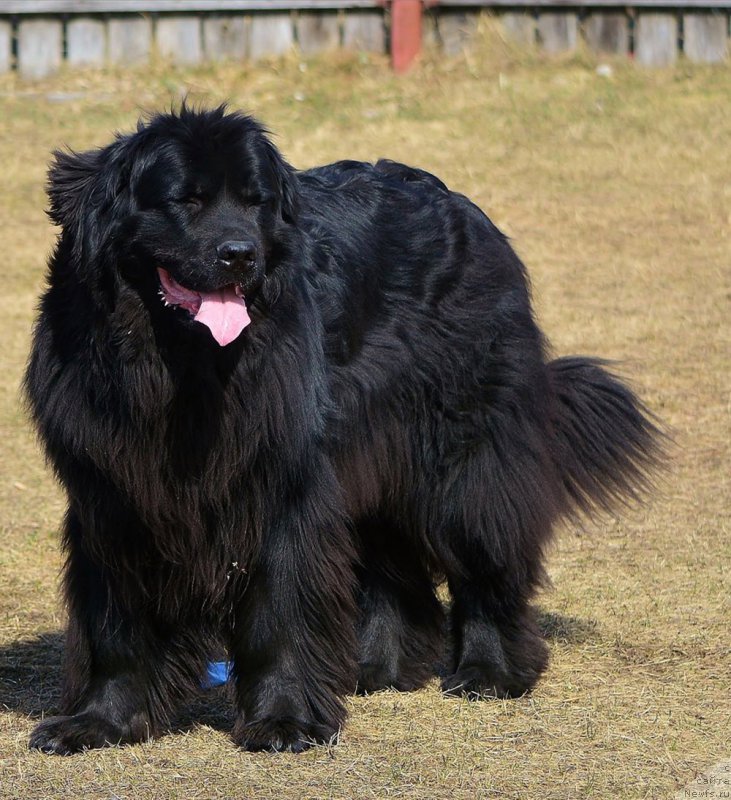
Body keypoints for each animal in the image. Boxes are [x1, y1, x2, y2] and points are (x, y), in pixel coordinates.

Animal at [25, 103, 660, 752]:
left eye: (255, 202)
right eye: (186, 200)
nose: (241, 253)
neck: (179, 367)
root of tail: (461, 205)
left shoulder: (282, 483)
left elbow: (278, 607)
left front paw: (284, 720)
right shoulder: (113, 495)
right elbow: (114, 624)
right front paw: (99, 721)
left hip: (462, 451)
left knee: (483, 548)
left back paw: (490, 670)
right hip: (369, 449)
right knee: (389, 566)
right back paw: (376, 667)